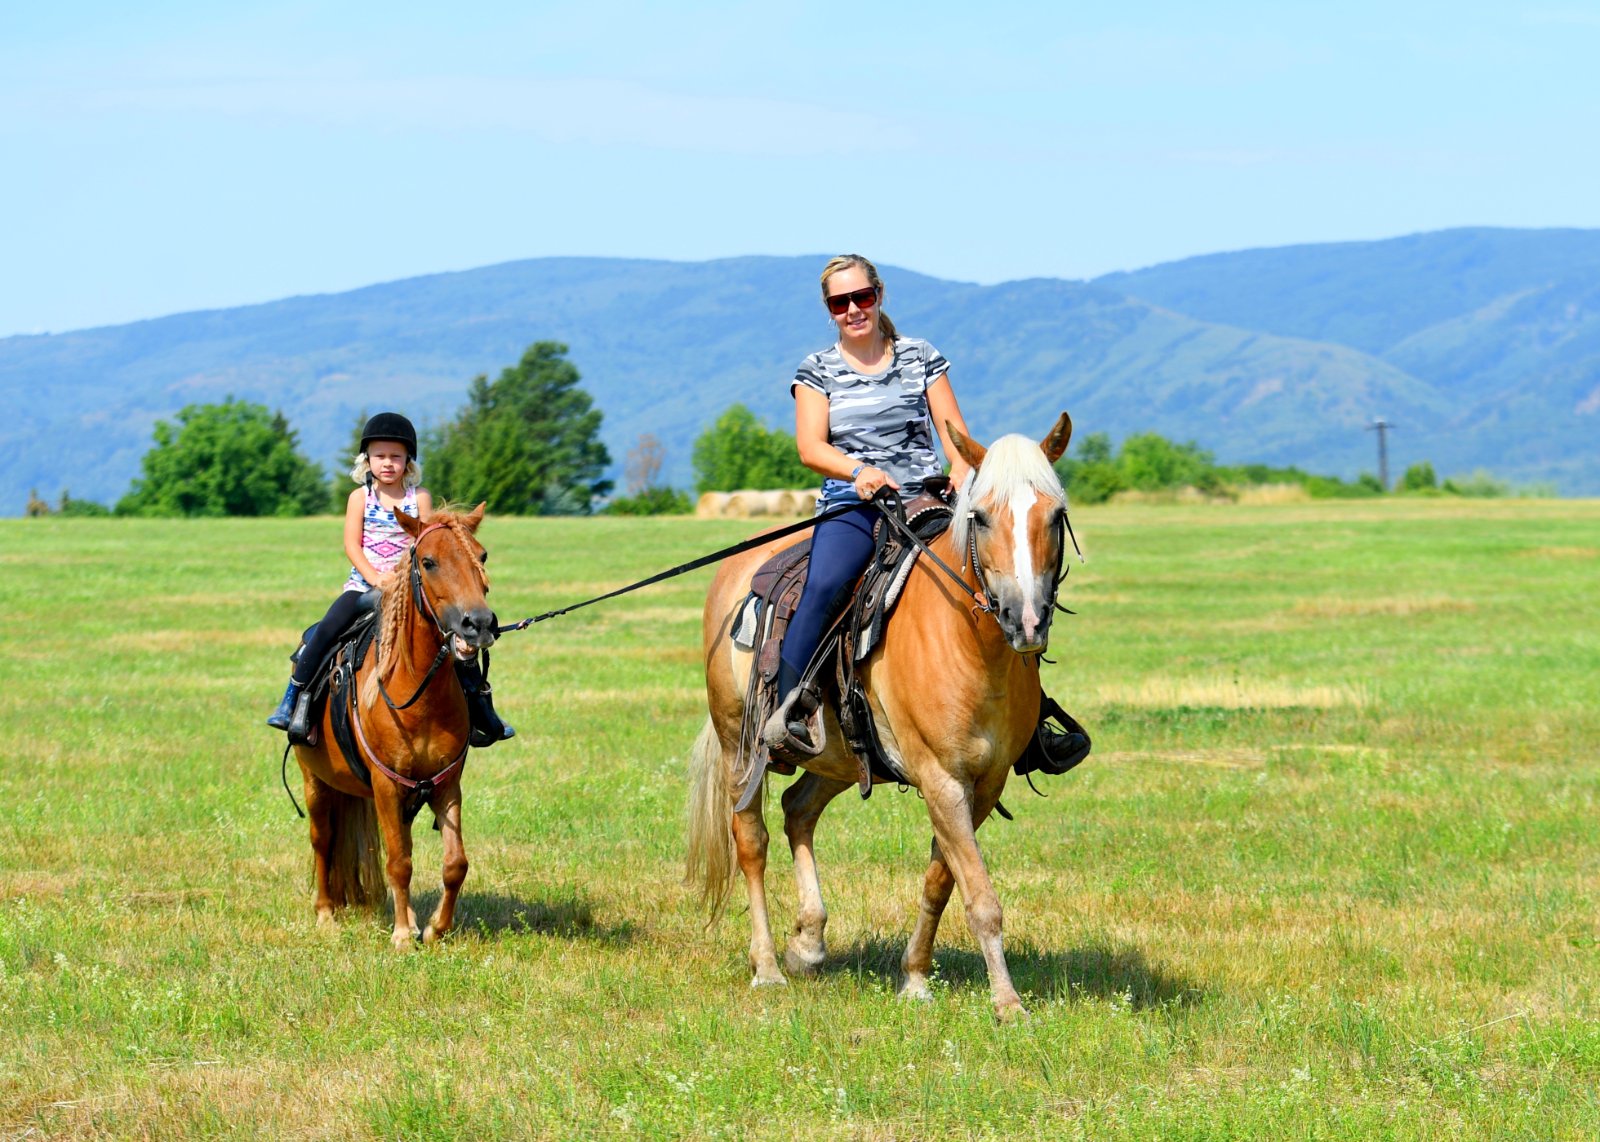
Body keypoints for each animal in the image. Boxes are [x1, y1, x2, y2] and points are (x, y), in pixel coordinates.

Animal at [293, 503, 496, 950]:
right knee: (322, 840)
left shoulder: (445, 783)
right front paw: (403, 935)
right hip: (315, 781)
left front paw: (435, 927)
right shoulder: (385, 785)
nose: (479, 623)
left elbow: (455, 863)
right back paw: (326, 914)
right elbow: (399, 861)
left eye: (482, 555)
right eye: (429, 561)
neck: (418, 694)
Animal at [687, 413, 1076, 1019]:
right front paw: (1008, 1004)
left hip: (839, 754)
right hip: (740, 745)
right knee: (750, 839)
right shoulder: (941, 779)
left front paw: (915, 977)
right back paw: (768, 966)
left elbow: (943, 881)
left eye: (1055, 515)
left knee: (798, 809)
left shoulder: (984, 783)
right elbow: (980, 895)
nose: (1027, 620)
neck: (971, 645)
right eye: (981, 515)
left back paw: (808, 941)